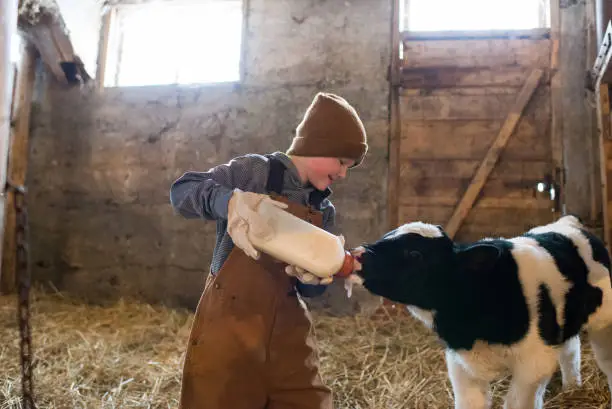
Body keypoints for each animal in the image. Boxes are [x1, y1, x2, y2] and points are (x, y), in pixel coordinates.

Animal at [346, 215, 608, 406]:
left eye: (414, 253)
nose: (358, 254)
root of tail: (568, 222)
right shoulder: (461, 366)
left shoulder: (534, 363)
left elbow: (516, 403)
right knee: (571, 349)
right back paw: (572, 387)